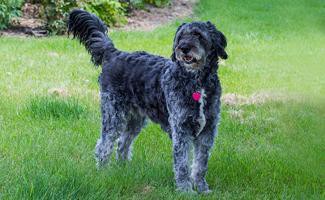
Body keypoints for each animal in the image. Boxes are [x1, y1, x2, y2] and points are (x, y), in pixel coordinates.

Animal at [67, 8, 227, 193]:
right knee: (103, 146)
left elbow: (201, 164)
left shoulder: (208, 130)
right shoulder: (181, 129)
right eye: (181, 36)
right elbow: (182, 164)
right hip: (113, 115)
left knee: (122, 144)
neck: (197, 84)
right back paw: (103, 172)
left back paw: (123, 170)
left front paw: (202, 188)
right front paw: (185, 190)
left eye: (198, 35)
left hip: (135, 120)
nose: (184, 48)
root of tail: (114, 53)